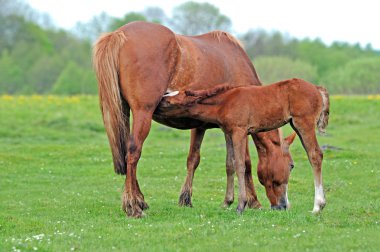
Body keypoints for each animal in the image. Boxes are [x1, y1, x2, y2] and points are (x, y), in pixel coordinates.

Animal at [94, 21, 288, 218]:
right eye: (291, 165)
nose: (283, 205)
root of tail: (118, 34)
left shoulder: (208, 127)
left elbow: (204, 160)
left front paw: (188, 198)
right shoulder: (238, 129)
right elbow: (245, 162)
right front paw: (253, 201)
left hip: (124, 113)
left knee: (128, 155)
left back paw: (140, 200)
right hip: (143, 113)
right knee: (133, 153)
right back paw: (133, 206)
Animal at [158, 78, 330, 213]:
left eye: (168, 103)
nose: (156, 105)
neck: (225, 102)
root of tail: (317, 88)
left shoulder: (239, 131)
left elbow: (240, 165)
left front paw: (241, 205)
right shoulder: (228, 133)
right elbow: (230, 164)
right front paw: (227, 203)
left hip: (304, 123)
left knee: (315, 155)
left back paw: (318, 206)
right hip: (296, 125)